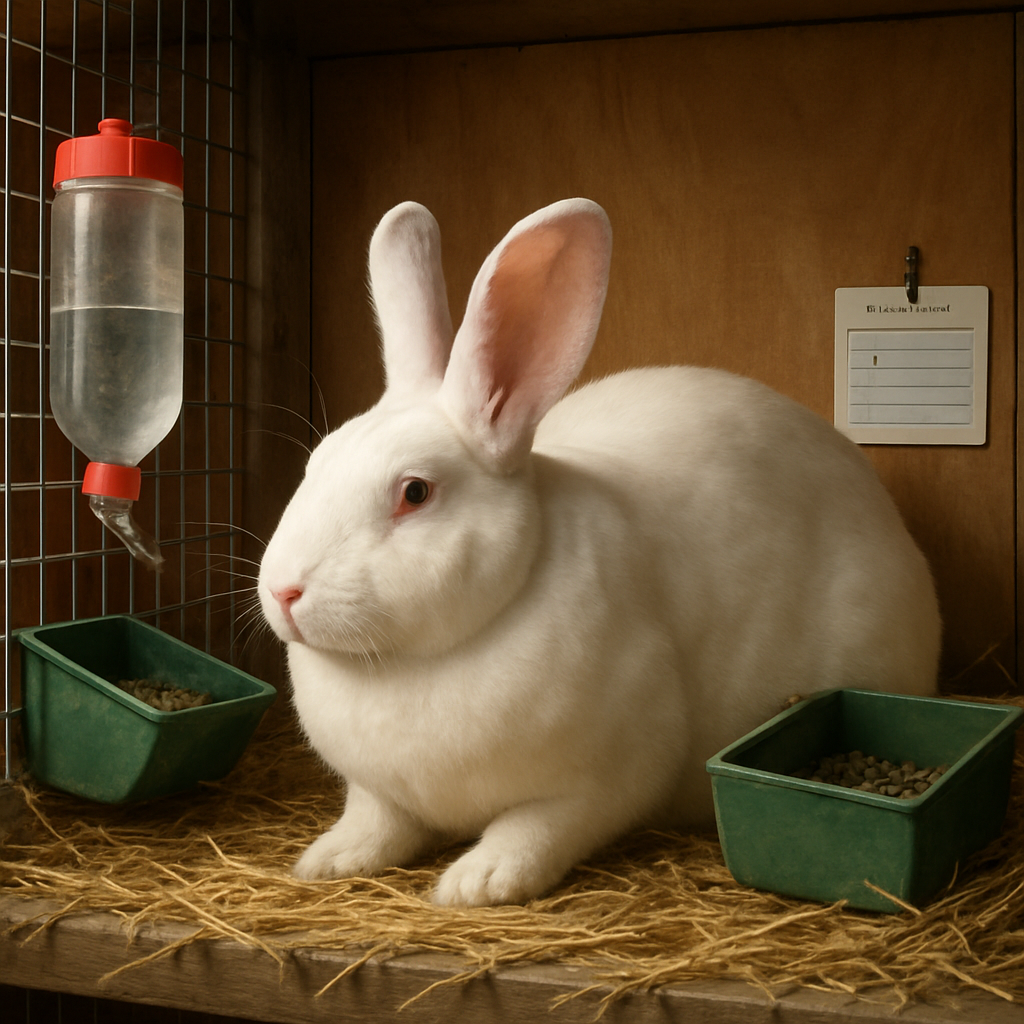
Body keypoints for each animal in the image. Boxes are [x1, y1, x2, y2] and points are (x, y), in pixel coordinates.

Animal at [258, 198, 941, 907]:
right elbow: (378, 821)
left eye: (414, 493)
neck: (413, 662)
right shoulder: (380, 792)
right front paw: (327, 860)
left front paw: (479, 882)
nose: (283, 591)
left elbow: (538, 828)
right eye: (316, 462)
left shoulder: (605, 777)